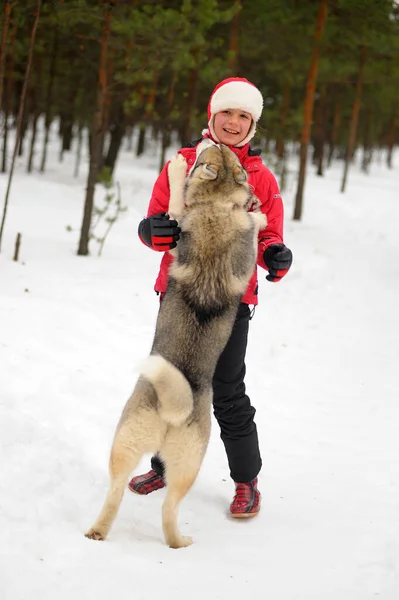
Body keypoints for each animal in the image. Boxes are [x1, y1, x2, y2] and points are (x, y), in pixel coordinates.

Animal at [85, 141, 268, 548]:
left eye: (208, 155)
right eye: (220, 152)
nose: (209, 141)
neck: (217, 206)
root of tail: (174, 408)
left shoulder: (180, 219)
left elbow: (176, 202)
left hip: (145, 446)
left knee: (146, 502)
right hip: (159, 455)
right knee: (139, 499)